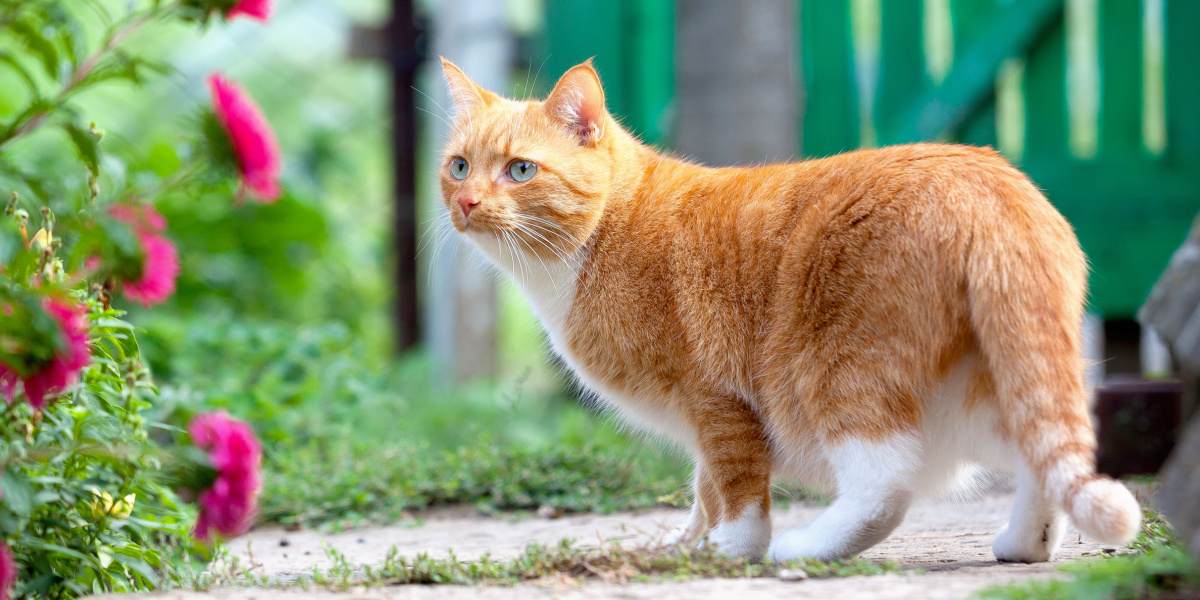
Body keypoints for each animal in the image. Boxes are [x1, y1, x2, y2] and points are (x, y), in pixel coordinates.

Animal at [439, 58, 1142, 559]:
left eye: (521, 170)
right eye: (460, 167)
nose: (466, 204)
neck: (600, 234)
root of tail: (993, 186)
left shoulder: (715, 400)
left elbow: (736, 488)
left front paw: (731, 549)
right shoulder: (703, 422)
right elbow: (705, 488)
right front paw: (689, 545)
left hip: (841, 371)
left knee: (886, 484)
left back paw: (808, 547)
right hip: (993, 382)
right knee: (1043, 459)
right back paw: (1026, 546)